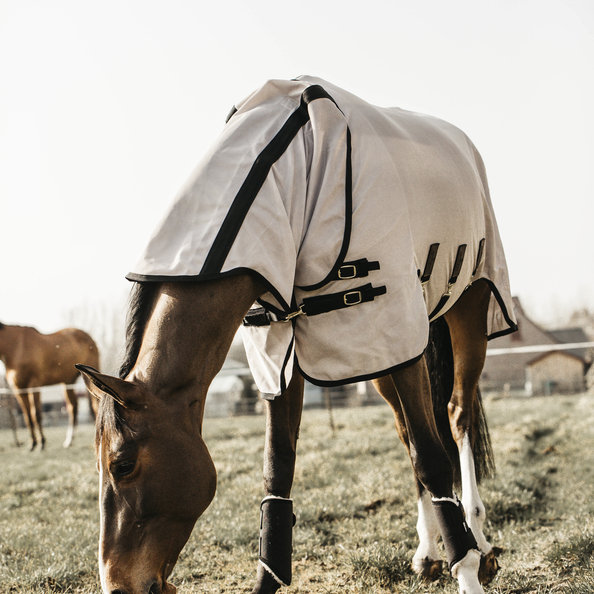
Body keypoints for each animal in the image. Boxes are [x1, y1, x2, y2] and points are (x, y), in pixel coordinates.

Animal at [77, 77, 512, 592]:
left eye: (122, 465)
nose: (116, 583)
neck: (285, 177)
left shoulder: (395, 327)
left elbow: (432, 457)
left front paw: (466, 570)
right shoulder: (281, 354)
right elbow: (278, 471)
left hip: (463, 312)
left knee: (457, 416)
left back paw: (479, 542)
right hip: (382, 355)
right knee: (408, 431)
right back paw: (429, 551)